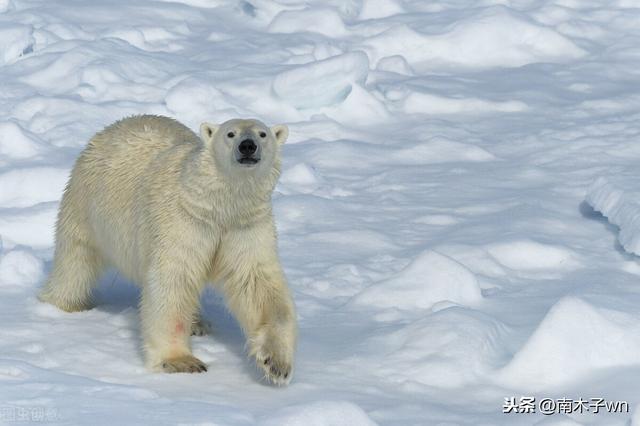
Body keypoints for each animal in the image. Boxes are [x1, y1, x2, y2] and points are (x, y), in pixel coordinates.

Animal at [39, 115, 298, 384]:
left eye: (262, 134)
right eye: (231, 133)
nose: (247, 146)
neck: (219, 207)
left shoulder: (244, 227)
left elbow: (257, 284)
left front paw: (276, 363)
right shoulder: (182, 221)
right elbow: (174, 280)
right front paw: (180, 361)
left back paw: (198, 323)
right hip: (86, 206)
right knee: (76, 261)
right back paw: (66, 305)